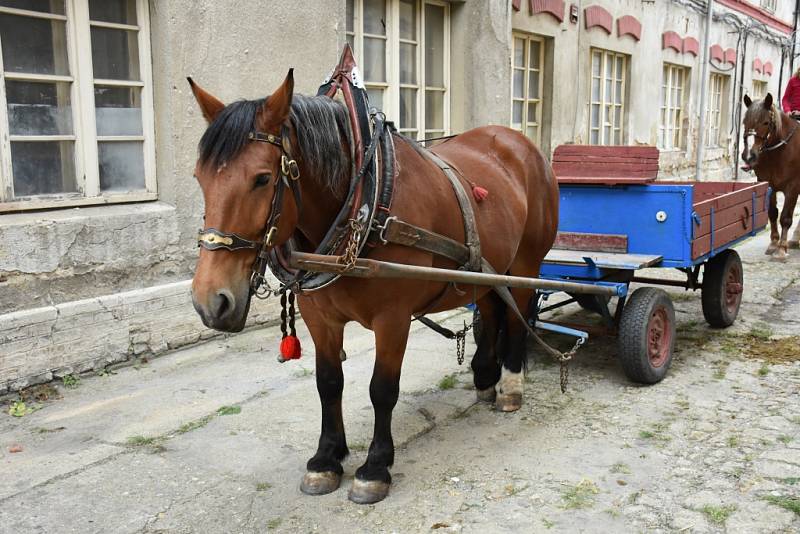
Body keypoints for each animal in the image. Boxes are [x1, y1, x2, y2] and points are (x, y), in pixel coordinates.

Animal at [740, 94, 796, 262]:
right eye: (745, 122)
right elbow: (772, 212)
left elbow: (785, 217)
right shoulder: (767, 183)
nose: (748, 156)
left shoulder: (793, 187)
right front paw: (773, 244)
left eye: (765, 122)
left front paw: (781, 249)